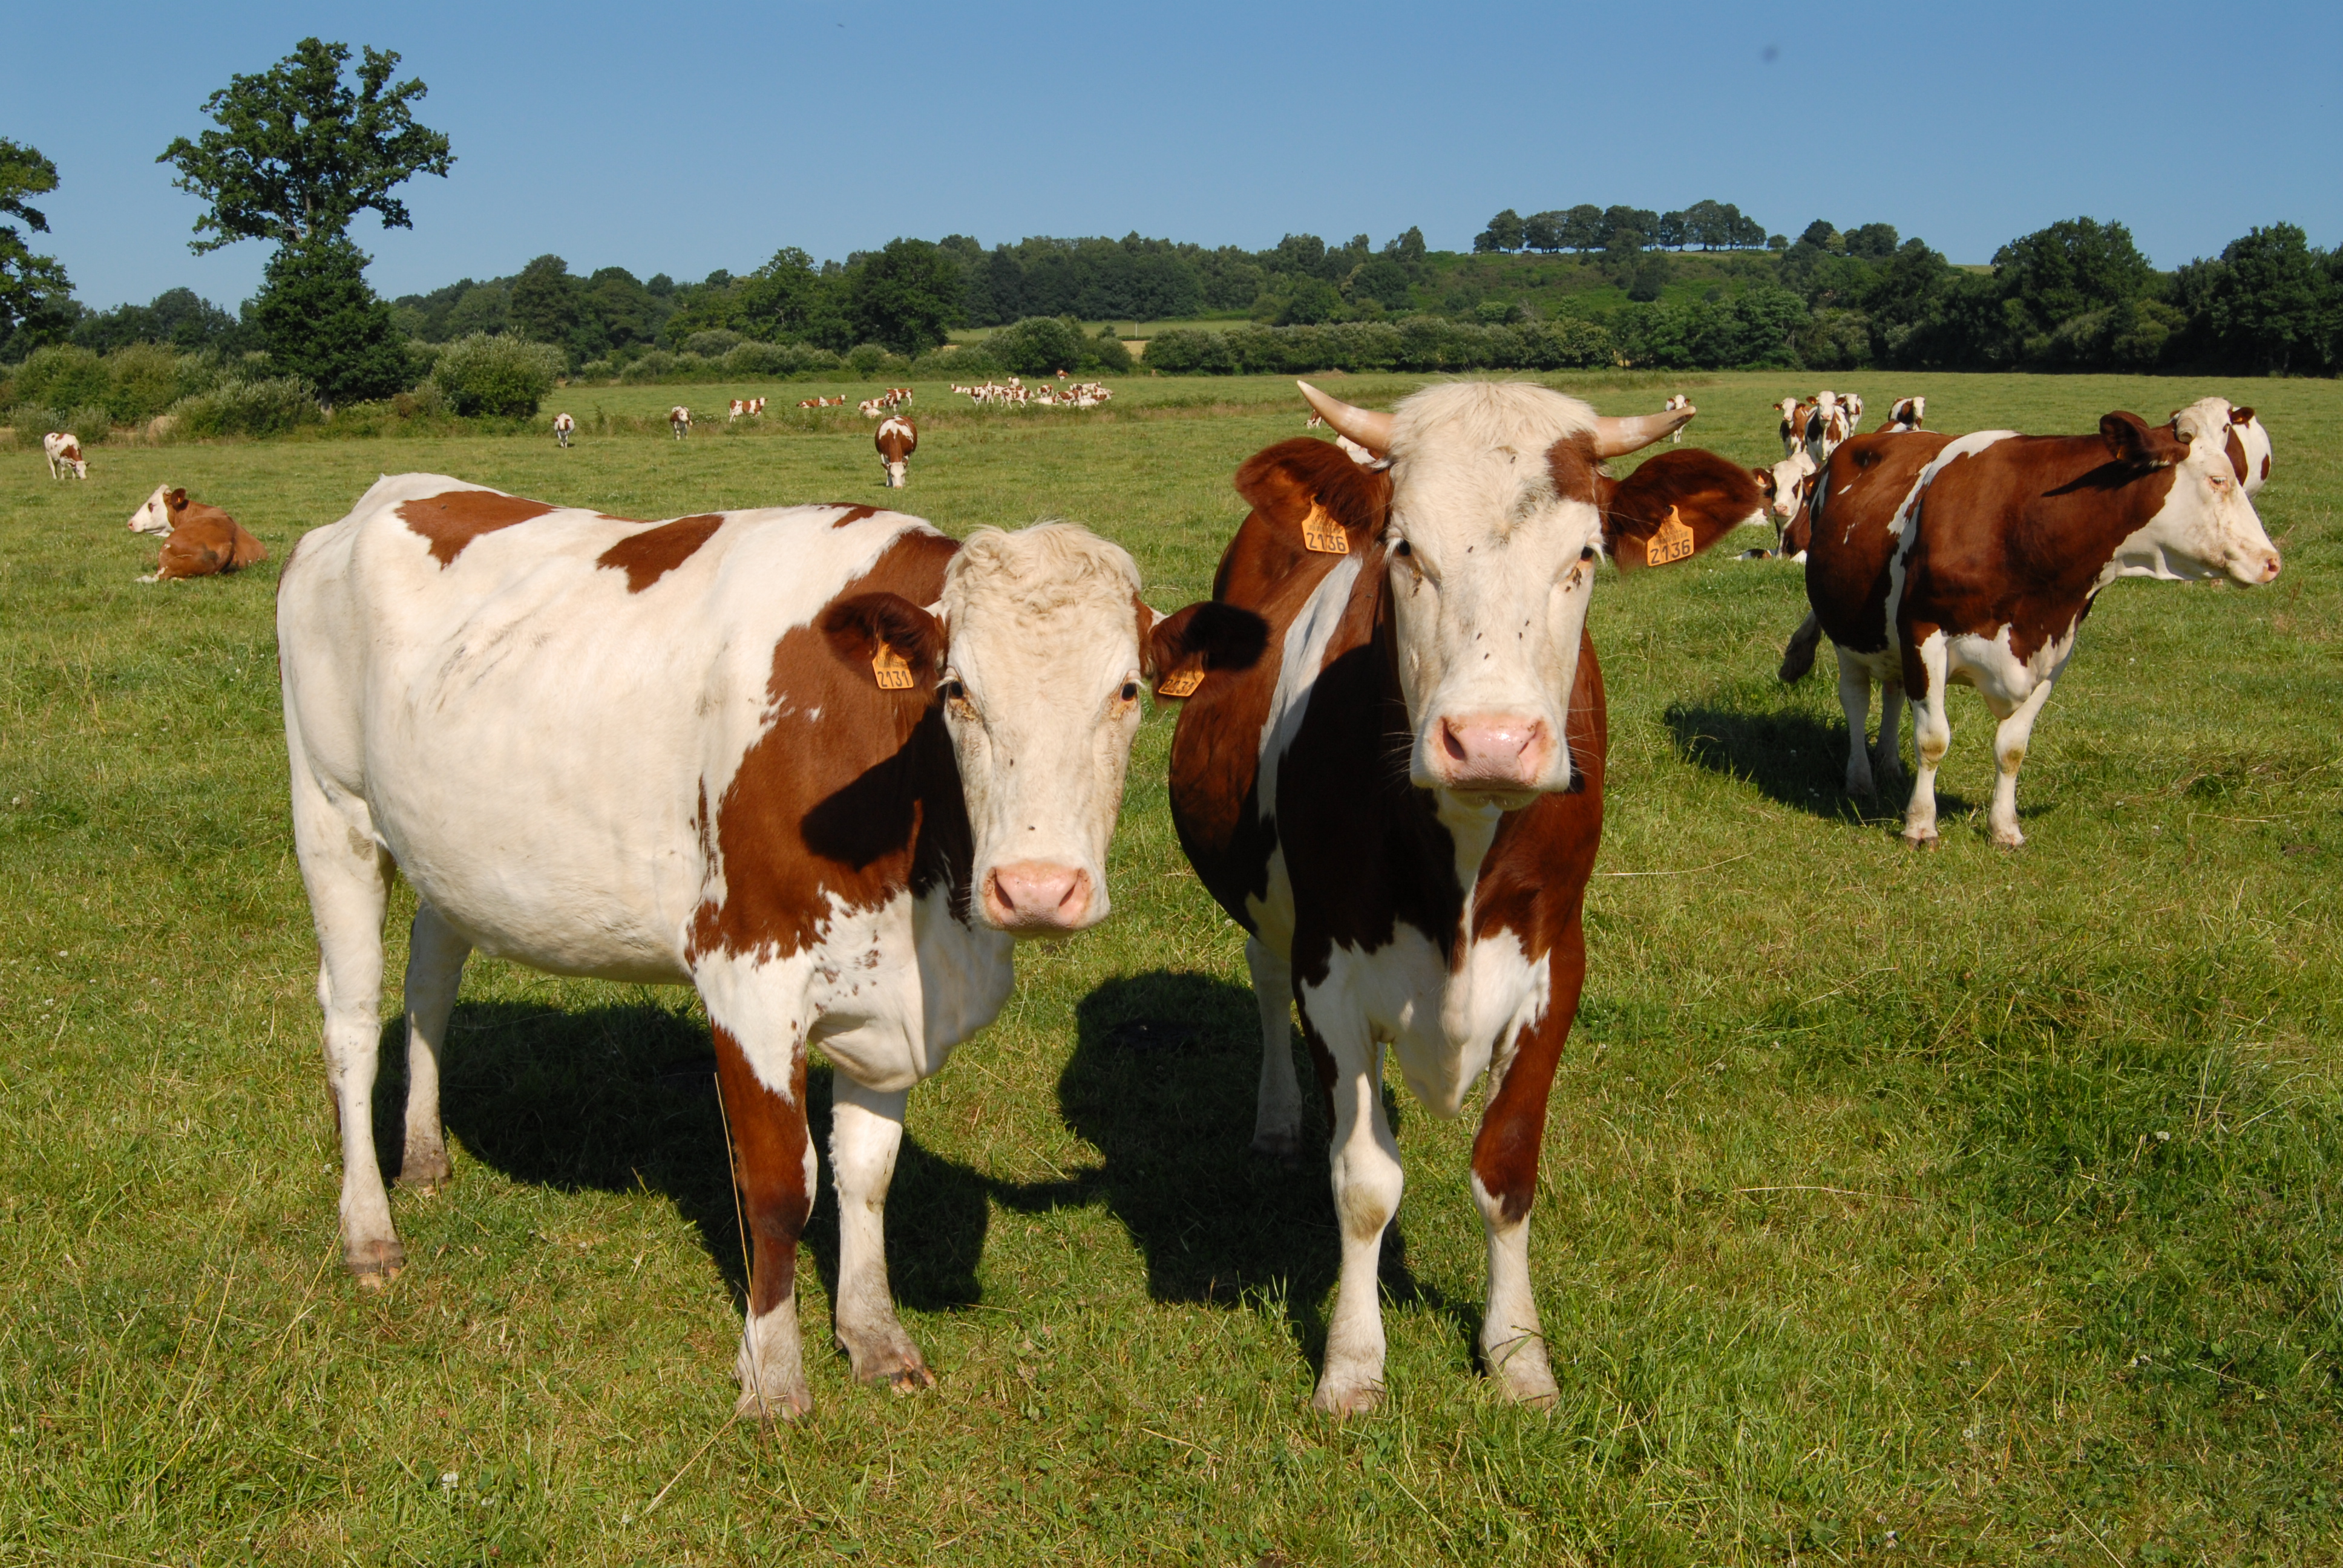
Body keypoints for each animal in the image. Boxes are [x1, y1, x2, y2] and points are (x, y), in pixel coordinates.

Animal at [279, 481, 1195, 1421]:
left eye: (1128, 690)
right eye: (957, 690)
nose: (1038, 888)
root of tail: (392, 493)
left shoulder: (889, 987)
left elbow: (867, 1173)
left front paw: (873, 1335)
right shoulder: (747, 973)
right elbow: (780, 1187)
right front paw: (773, 1376)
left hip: (443, 851)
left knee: (430, 983)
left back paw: (424, 1156)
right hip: (332, 814)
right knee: (351, 1024)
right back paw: (369, 1230)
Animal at [1159, 381, 1760, 1413]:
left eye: (1586, 554)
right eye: (1404, 548)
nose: (1490, 742)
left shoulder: (1557, 964)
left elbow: (1506, 1169)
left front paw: (1519, 1355)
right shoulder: (1332, 972)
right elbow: (1364, 1182)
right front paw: (1352, 1363)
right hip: (1270, 909)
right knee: (1263, 976)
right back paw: (1279, 1121)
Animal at [1777, 398, 2280, 847]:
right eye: (2218, 479)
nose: (2272, 561)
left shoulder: (2053, 650)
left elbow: (2012, 748)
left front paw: (2005, 829)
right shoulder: (1924, 635)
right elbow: (1933, 739)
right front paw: (1920, 826)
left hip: (1889, 637)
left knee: (1893, 691)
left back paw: (1887, 762)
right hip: (1851, 632)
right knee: (1857, 699)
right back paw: (1861, 777)